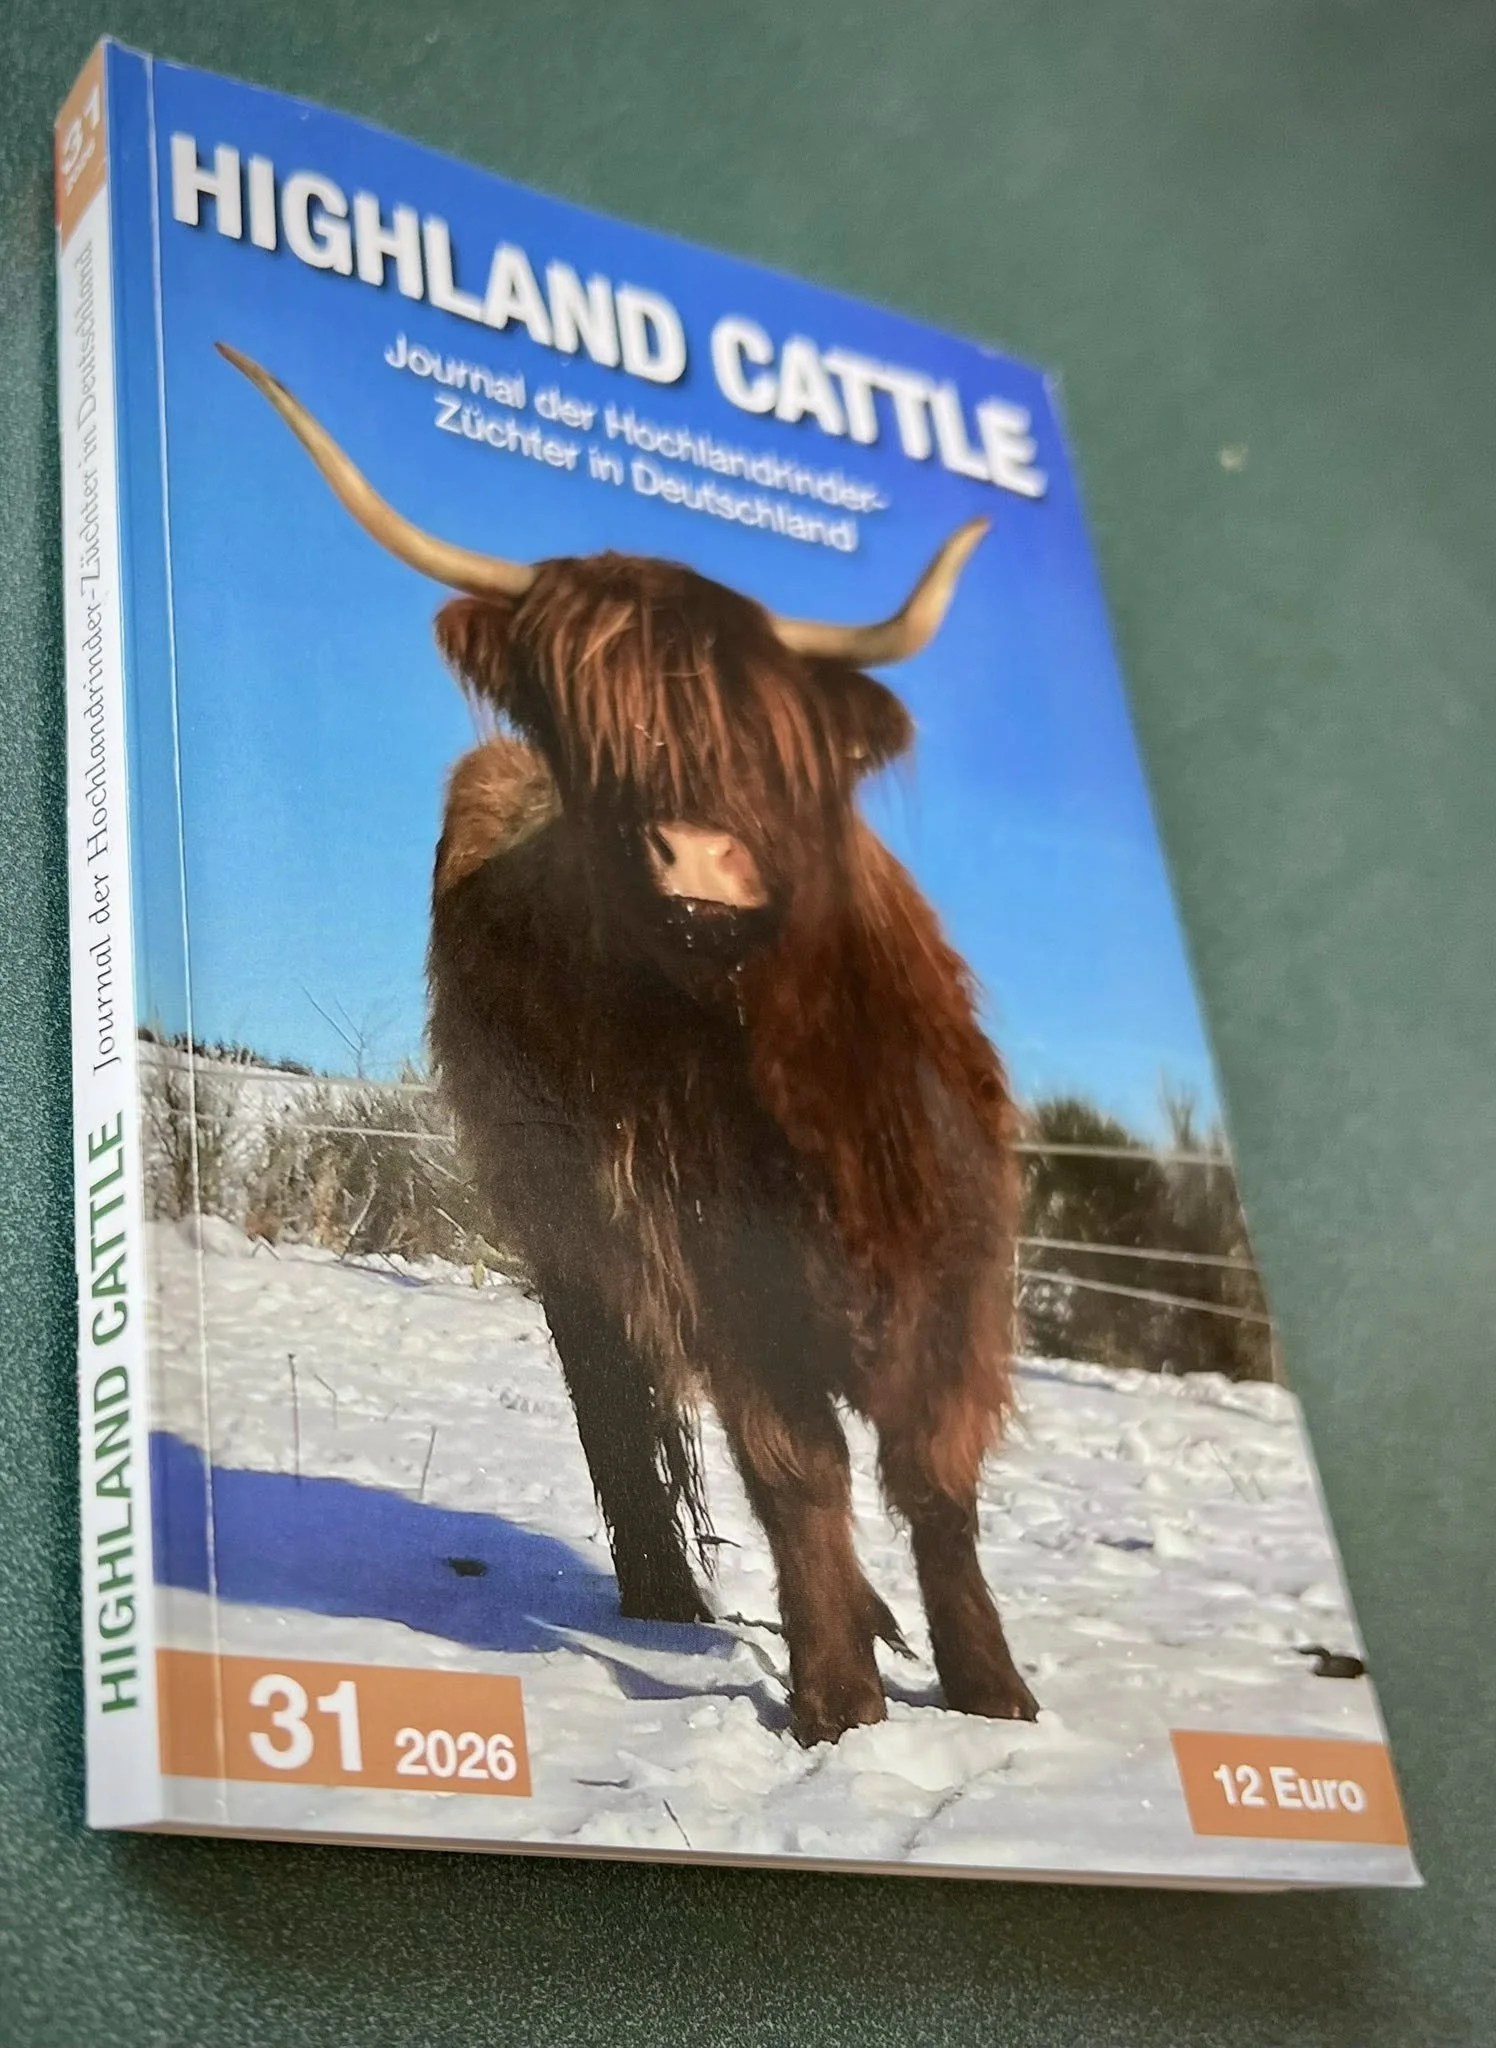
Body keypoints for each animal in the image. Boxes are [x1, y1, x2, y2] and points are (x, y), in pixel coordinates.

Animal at [221, 343, 1039, 1745]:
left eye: (769, 737)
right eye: (583, 716)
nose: (699, 858)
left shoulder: (957, 1253)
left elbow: (934, 1472)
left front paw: (990, 1693)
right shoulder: (711, 1255)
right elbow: (797, 1464)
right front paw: (836, 1703)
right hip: (564, 1230)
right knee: (612, 1397)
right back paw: (665, 1592)